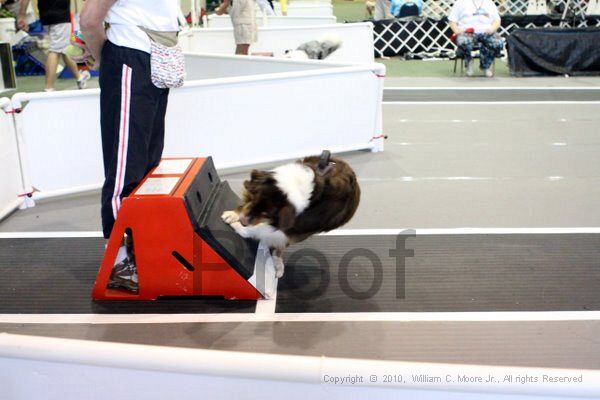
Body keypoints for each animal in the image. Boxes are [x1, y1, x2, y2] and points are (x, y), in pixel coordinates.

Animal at [221, 155, 358, 276]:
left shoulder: (293, 227)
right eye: (254, 199)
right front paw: (233, 214)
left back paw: (277, 264)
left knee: (280, 247)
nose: (243, 221)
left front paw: (240, 228)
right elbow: (244, 206)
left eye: (266, 214)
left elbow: (261, 231)